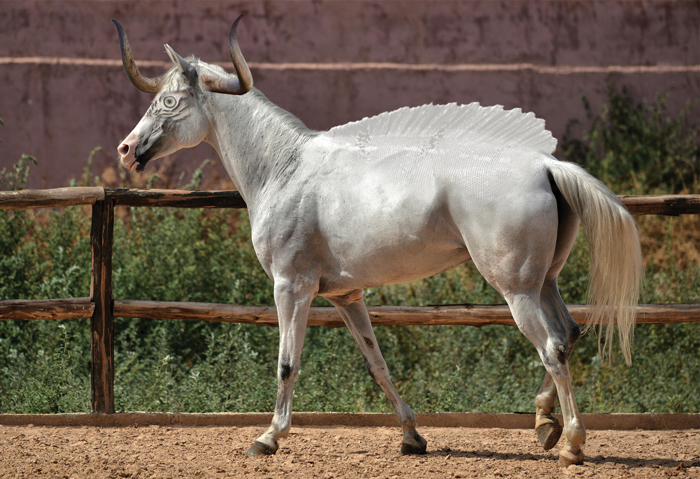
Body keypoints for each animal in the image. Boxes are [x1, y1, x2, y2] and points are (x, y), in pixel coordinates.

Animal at [114, 16, 642, 467]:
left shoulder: (291, 288)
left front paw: (268, 437)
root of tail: (546, 165)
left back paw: (571, 443)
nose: (126, 149)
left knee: (552, 348)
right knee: (570, 334)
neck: (285, 168)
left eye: (168, 102)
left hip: (517, 291)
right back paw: (544, 423)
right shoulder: (347, 296)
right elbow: (377, 364)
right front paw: (411, 436)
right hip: (544, 283)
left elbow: (287, 363)